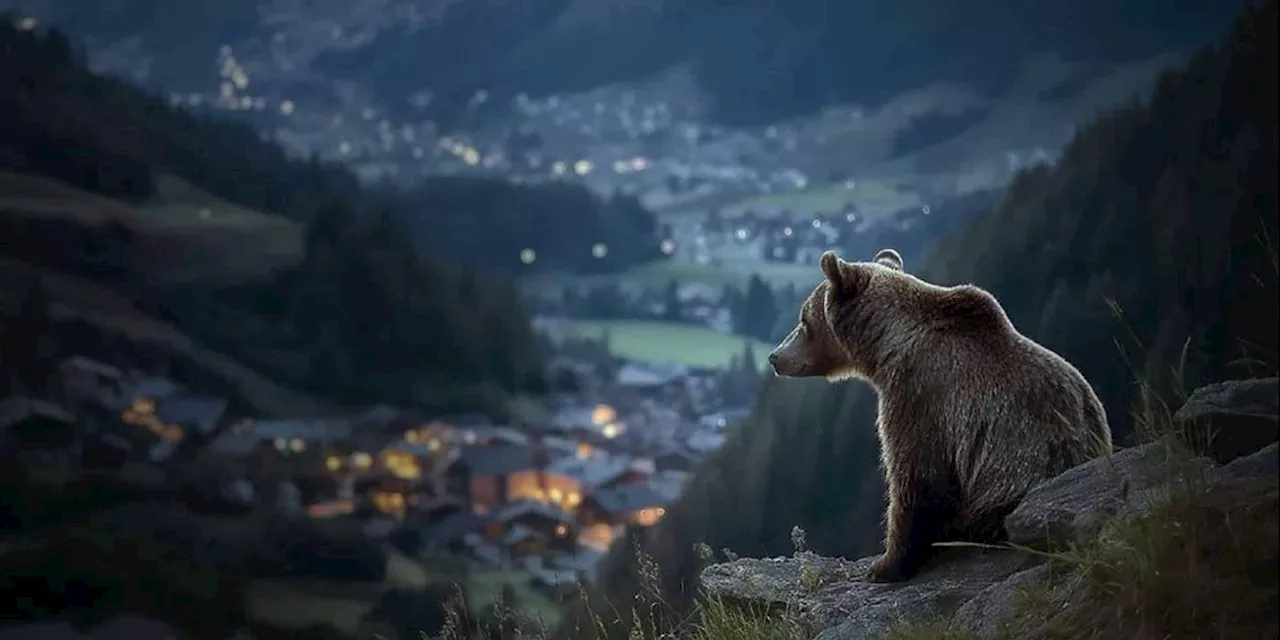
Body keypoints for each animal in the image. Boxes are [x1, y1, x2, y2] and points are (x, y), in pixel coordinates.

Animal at [768, 247, 1111, 583]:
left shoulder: (920, 395)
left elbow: (918, 477)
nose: (775, 356)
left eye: (803, 319)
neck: (886, 345)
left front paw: (885, 565)